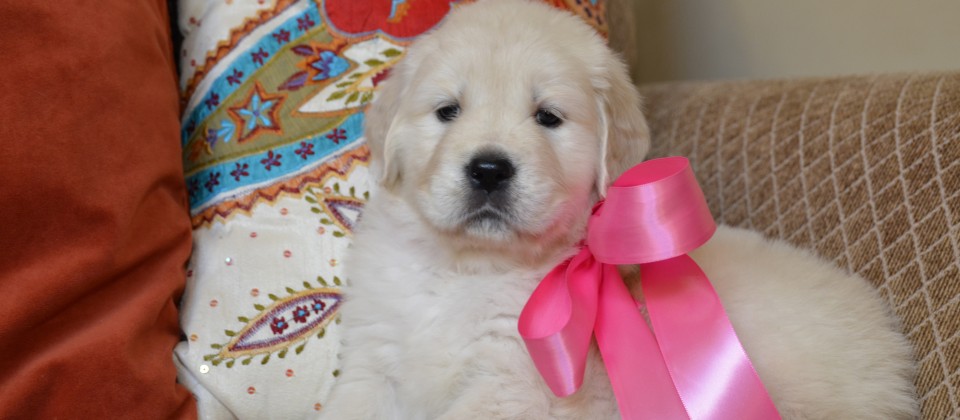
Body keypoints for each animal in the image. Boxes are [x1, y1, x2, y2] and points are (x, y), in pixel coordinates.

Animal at [320, 1, 916, 418]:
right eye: (448, 111)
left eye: (548, 117)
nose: (488, 170)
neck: (468, 267)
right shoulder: (371, 362)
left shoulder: (510, 381)